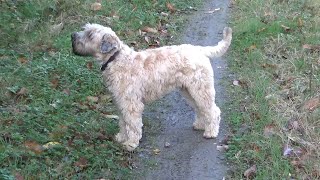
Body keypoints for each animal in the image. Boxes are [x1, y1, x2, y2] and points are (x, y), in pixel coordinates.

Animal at [71, 23, 231, 150]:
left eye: (90, 35)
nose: (72, 35)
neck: (115, 59)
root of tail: (199, 50)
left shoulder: (131, 104)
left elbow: (132, 124)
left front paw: (131, 143)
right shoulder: (120, 102)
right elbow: (123, 122)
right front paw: (121, 137)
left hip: (201, 89)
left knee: (213, 110)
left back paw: (211, 132)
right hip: (189, 91)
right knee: (201, 109)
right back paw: (200, 125)